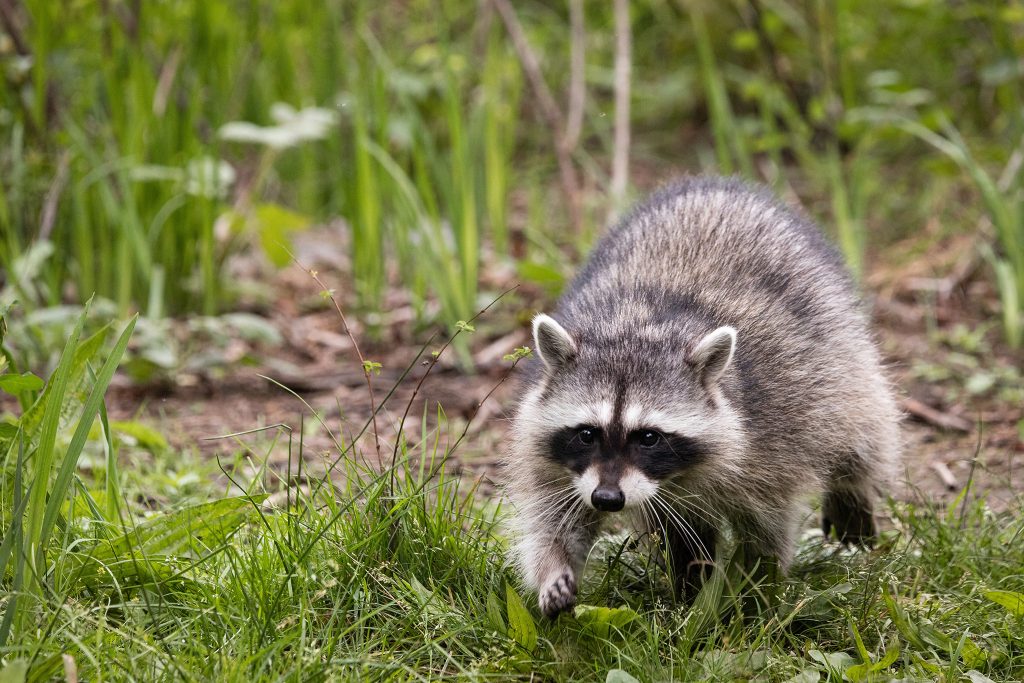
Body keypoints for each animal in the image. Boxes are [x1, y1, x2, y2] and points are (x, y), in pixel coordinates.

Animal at [505, 177, 901, 618]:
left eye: (648, 437)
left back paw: (852, 490)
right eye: (587, 433)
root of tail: (719, 185)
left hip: (838, 348)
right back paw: (689, 581)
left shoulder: (775, 432)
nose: (607, 499)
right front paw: (553, 568)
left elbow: (768, 528)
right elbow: (555, 515)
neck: (635, 327)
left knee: (862, 425)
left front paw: (755, 594)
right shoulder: (551, 451)